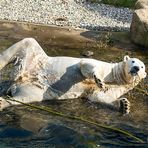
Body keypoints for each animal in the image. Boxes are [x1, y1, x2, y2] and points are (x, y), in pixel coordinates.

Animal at [0, 37, 146, 114]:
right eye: (133, 61)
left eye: (142, 66)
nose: (136, 68)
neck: (117, 76)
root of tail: (19, 80)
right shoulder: (107, 69)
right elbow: (86, 66)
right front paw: (99, 80)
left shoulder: (119, 86)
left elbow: (98, 96)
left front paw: (124, 105)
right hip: (33, 59)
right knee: (26, 43)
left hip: (35, 87)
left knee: (25, 98)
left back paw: (3, 102)